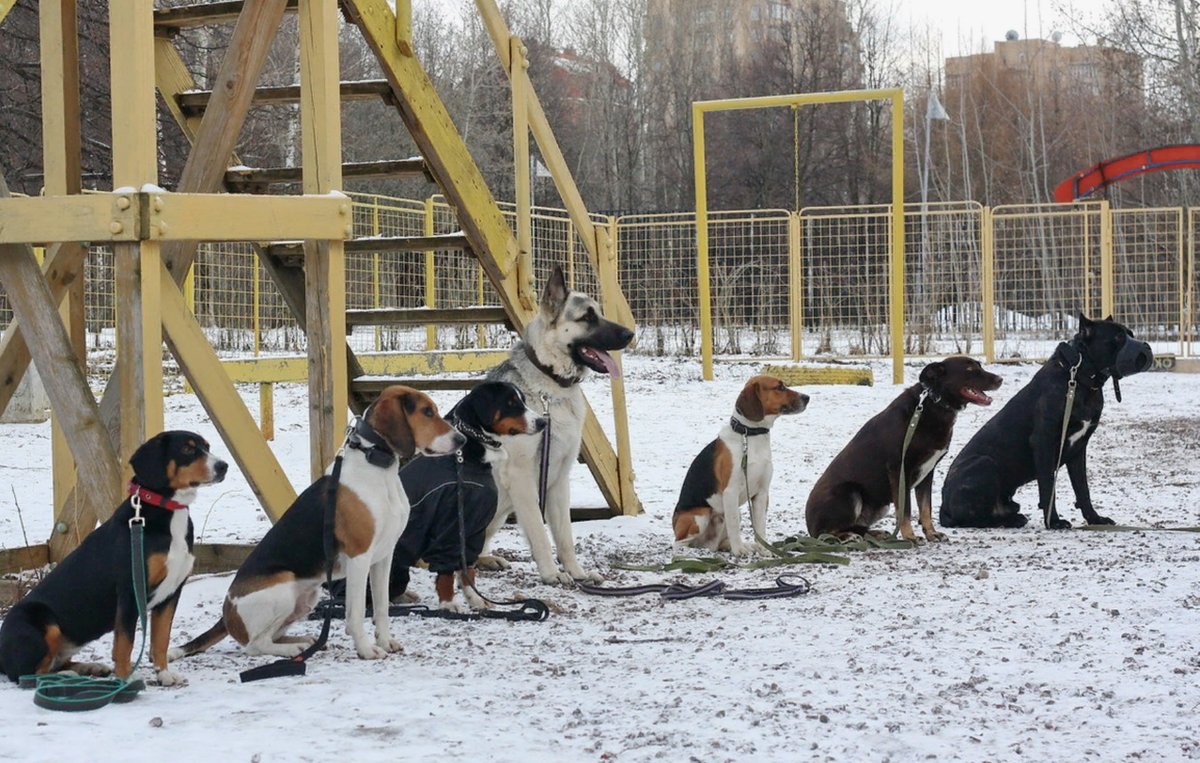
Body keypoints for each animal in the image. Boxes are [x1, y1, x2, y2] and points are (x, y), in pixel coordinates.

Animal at [0, 431, 226, 686]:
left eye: (207, 447)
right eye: (187, 449)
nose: (223, 466)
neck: (168, 515)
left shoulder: (170, 594)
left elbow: (161, 639)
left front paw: (163, 673)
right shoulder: (130, 591)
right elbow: (125, 643)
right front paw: (125, 678)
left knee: (55, 662)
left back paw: (90, 667)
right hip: (42, 621)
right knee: (25, 674)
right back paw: (66, 677)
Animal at [484, 265, 643, 580]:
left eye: (600, 313)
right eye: (587, 317)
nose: (630, 333)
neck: (550, 390)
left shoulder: (558, 480)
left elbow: (564, 536)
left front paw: (577, 573)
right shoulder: (522, 478)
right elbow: (539, 531)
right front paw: (551, 573)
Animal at [806, 357, 1003, 542]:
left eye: (979, 366)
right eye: (969, 369)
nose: (1000, 379)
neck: (933, 403)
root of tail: (809, 525)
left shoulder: (927, 472)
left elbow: (925, 508)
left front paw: (931, 533)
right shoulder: (900, 471)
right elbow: (905, 510)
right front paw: (910, 537)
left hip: (880, 506)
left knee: (855, 527)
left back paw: (874, 534)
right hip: (850, 493)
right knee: (827, 532)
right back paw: (848, 536)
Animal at [936, 311, 1152, 527]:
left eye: (1130, 333)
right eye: (1118, 337)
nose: (1147, 347)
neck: (1079, 378)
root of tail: (943, 508)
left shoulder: (1078, 449)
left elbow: (1082, 489)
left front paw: (1095, 519)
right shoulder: (1043, 443)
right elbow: (1048, 487)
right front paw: (1054, 522)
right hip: (984, 463)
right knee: (974, 518)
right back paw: (1011, 521)